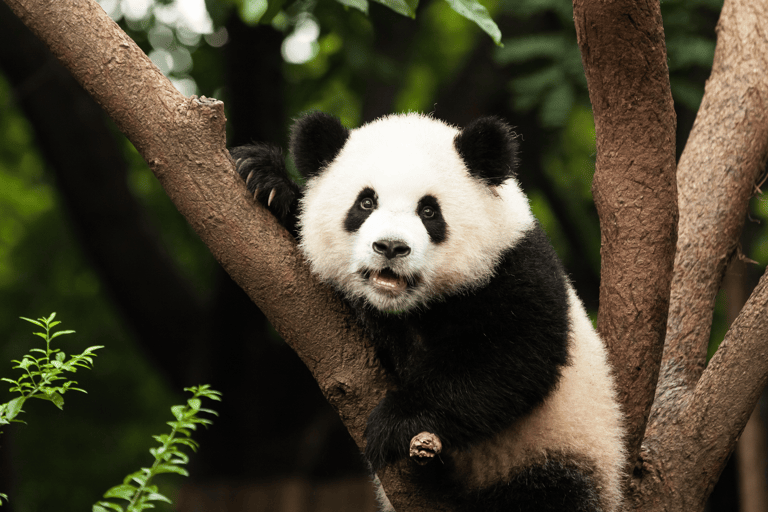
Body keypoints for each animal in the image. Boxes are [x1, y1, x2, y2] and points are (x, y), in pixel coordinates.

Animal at [231, 112, 625, 512]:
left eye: (429, 211)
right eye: (365, 203)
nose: (390, 247)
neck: (408, 307)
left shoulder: (514, 267)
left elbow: (512, 359)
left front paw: (394, 423)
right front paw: (265, 180)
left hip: (556, 451)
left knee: (551, 492)